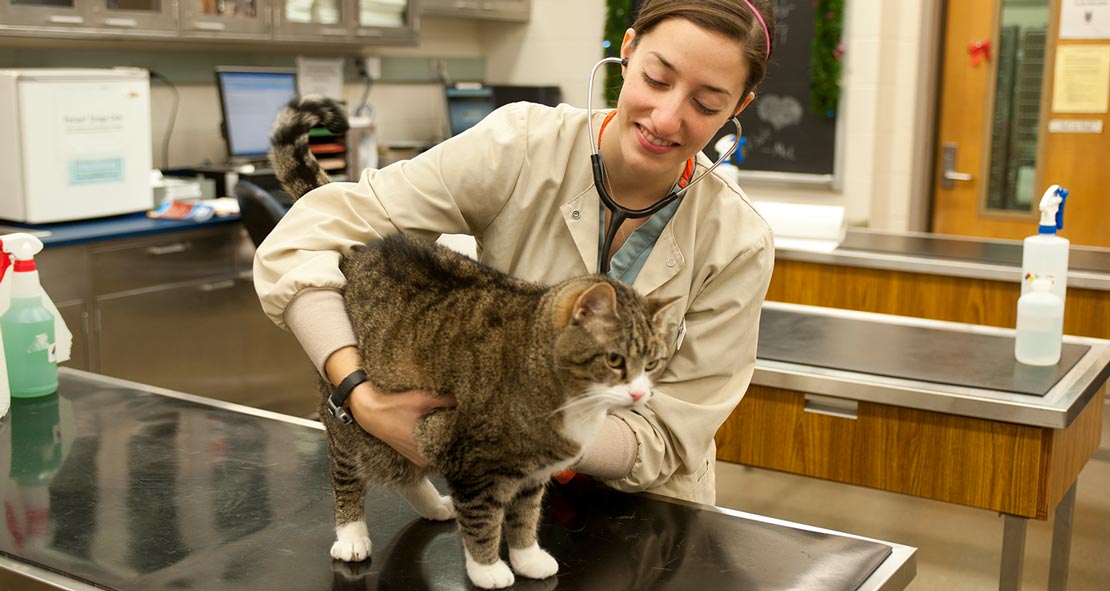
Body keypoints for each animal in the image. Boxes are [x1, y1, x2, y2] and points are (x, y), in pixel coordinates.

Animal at [270, 94, 683, 586]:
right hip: (351, 428)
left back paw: (433, 506)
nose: (640, 393)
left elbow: (524, 518)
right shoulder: (470, 462)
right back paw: (352, 535)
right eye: (616, 360)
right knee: (349, 473)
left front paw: (527, 558)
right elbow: (484, 521)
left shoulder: (531, 476)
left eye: (652, 363)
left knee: (406, 470)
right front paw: (488, 569)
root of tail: (360, 250)